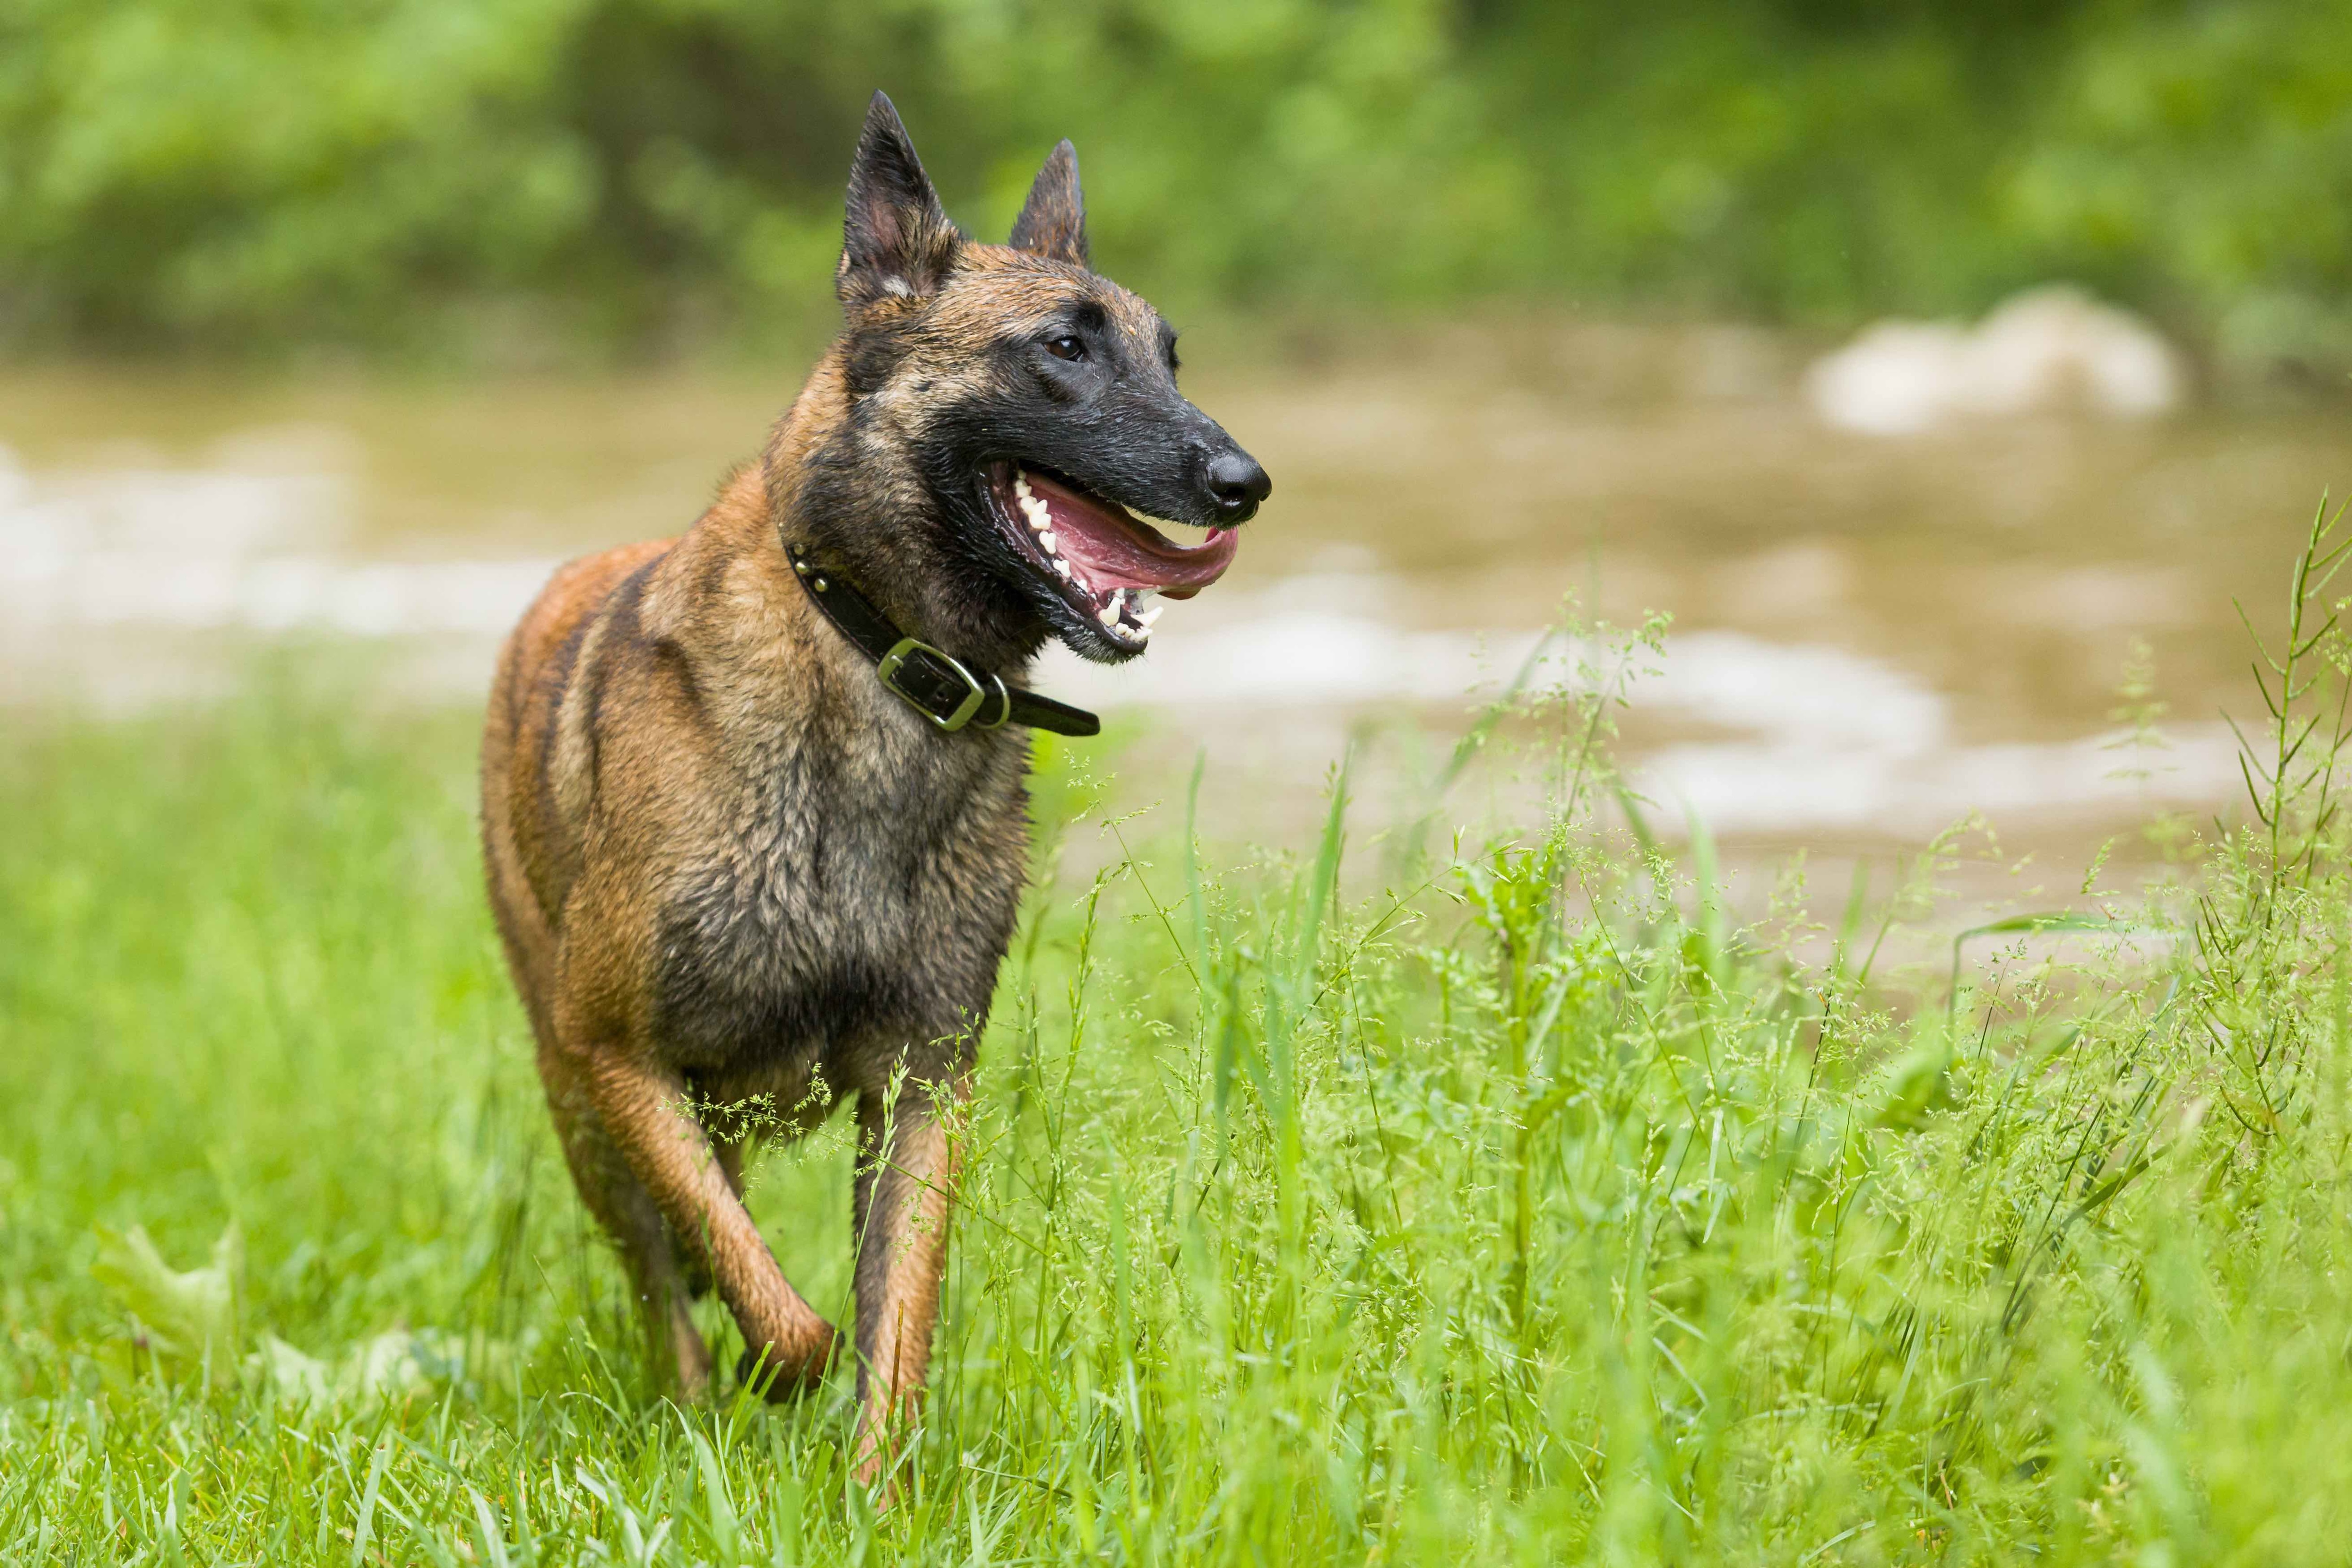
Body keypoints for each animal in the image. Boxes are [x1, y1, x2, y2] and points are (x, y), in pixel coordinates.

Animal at [473, 92, 1270, 1476]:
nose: (1245, 484)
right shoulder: (621, 1054)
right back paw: (699, 1405)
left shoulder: (923, 1087)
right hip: (579, 1107)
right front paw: (772, 1369)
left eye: (1171, 356)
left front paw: (876, 1490)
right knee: (664, 1281)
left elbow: (896, 1319)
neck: (880, 661)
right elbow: (785, 1316)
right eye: (1065, 348)